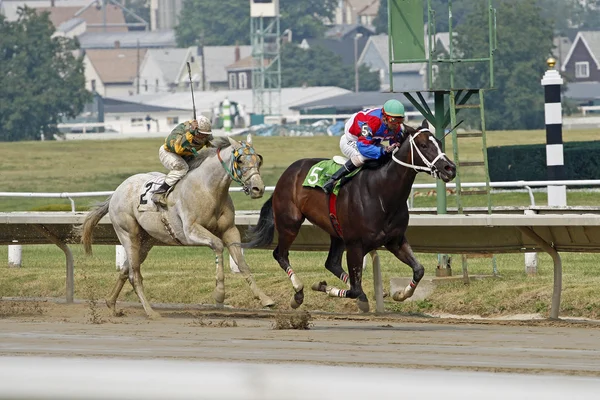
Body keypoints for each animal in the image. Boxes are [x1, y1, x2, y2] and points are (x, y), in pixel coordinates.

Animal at [77, 134, 274, 318]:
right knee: (134, 274)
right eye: (240, 160)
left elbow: (242, 263)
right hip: (128, 233)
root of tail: (117, 191)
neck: (208, 189)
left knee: (126, 270)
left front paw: (265, 299)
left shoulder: (230, 230)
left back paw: (111, 304)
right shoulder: (190, 231)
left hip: (146, 240)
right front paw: (219, 294)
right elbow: (218, 245)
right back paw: (151, 312)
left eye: (258, 159)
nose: (258, 188)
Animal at [246, 121, 458, 312]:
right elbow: (354, 289)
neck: (381, 192)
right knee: (280, 254)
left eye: (439, 142)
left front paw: (400, 294)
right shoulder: (355, 245)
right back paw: (298, 293)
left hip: (336, 232)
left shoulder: (394, 241)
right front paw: (323, 286)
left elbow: (419, 270)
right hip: (289, 223)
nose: (450, 168)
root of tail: (288, 172)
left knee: (331, 263)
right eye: (423, 145)